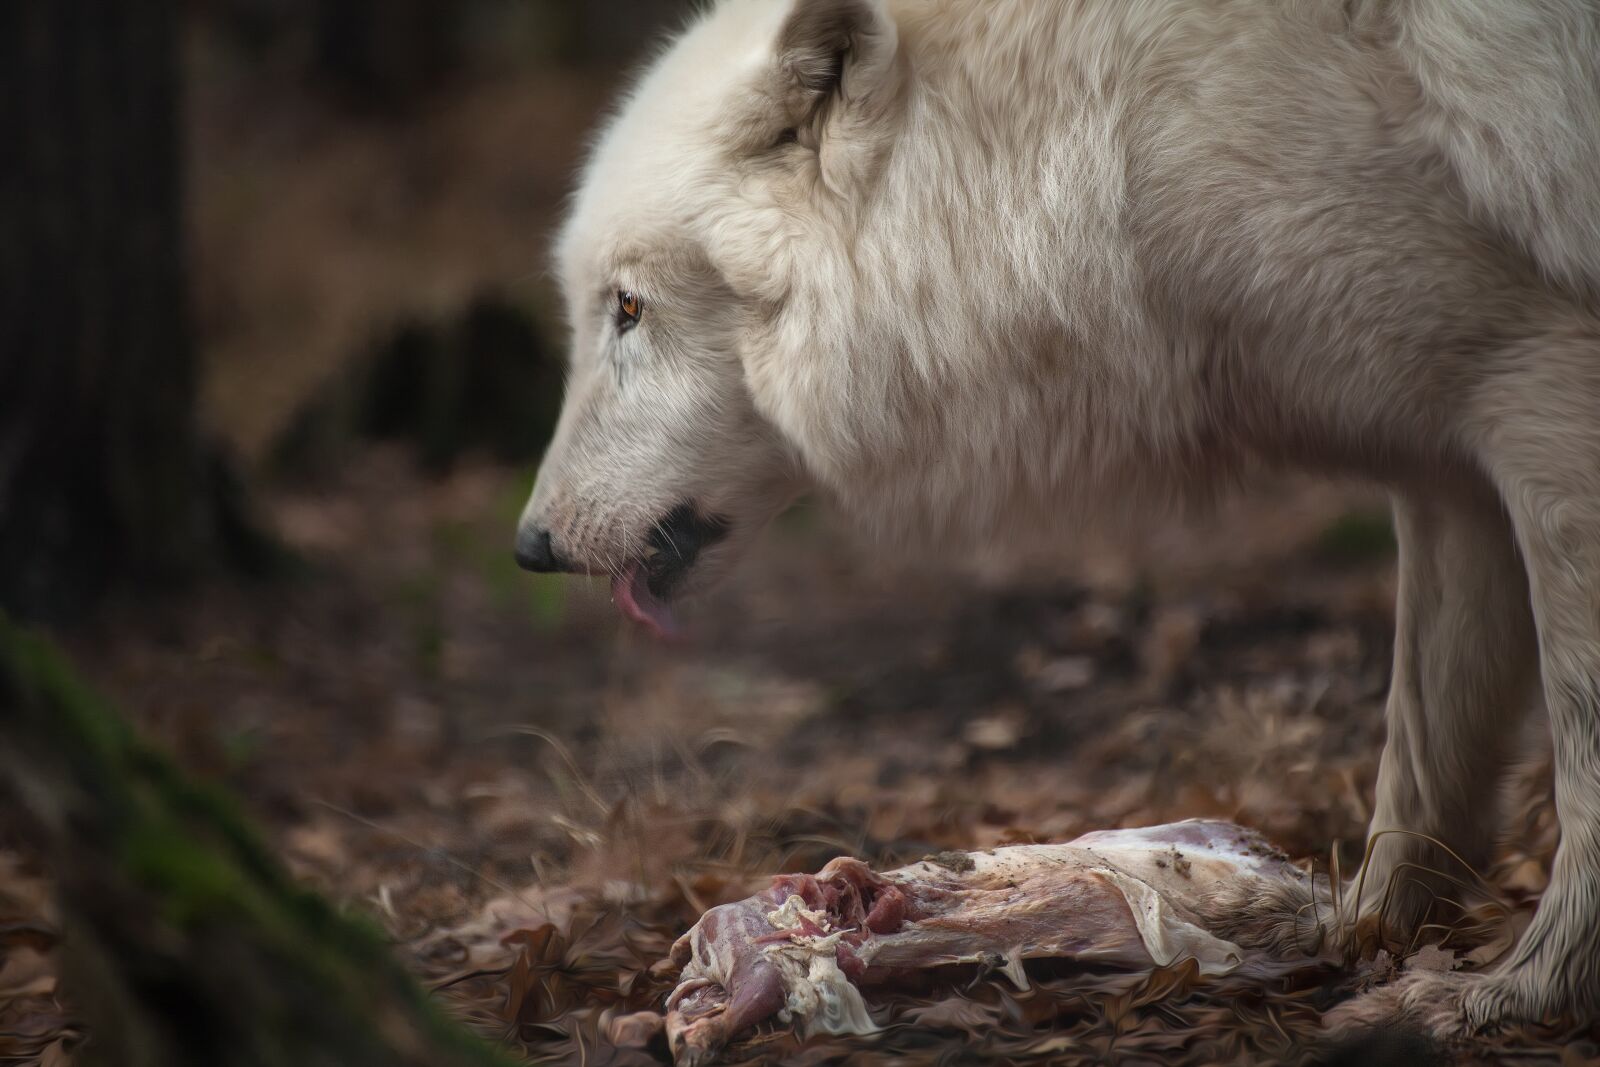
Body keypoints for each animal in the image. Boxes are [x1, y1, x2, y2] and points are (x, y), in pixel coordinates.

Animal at [516, 0, 1600, 1035]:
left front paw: (1522, 989)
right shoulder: (1447, 463)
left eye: (627, 307)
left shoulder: (1542, 387)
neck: (1109, 133)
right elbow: (1423, 752)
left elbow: (1577, 748)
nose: (529, 545)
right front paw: (1366, 932)